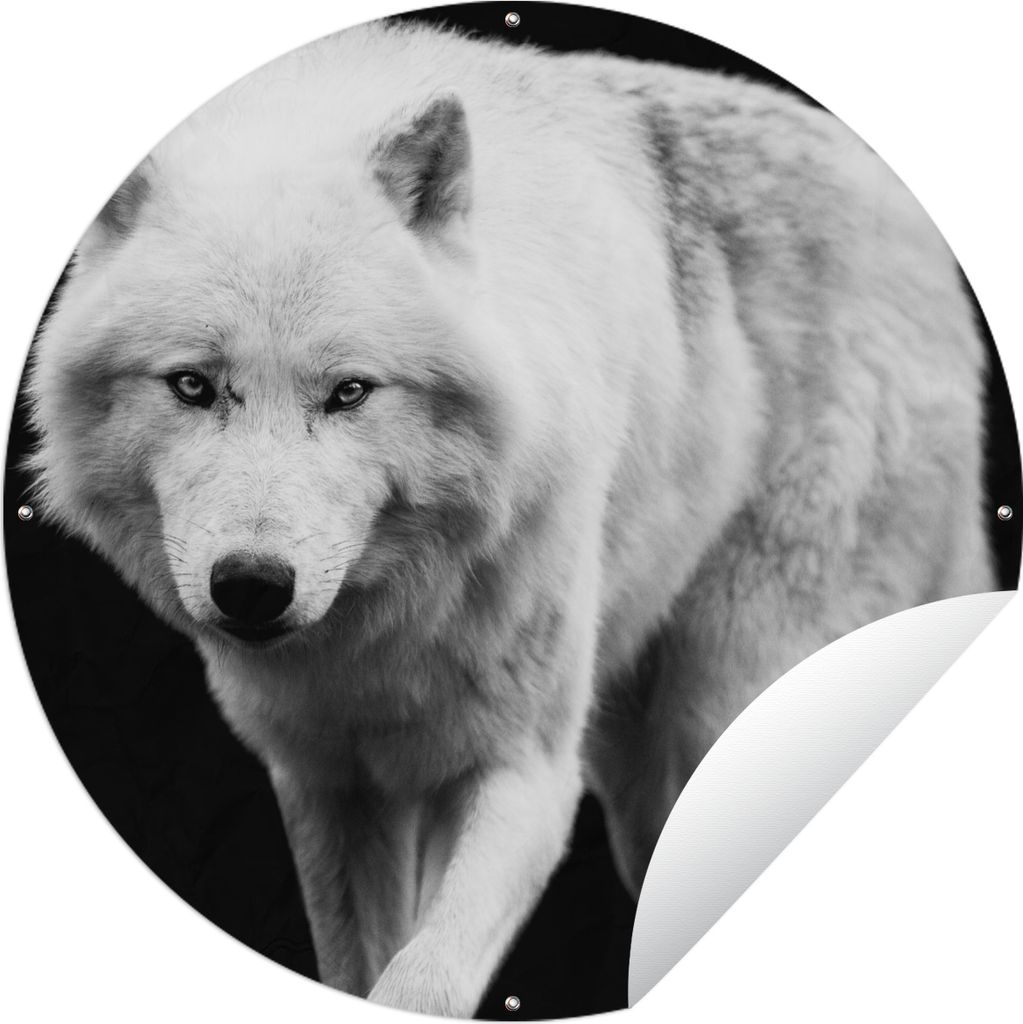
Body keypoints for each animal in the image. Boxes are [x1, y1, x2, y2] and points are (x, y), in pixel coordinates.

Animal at [26, 19, 993, 1017]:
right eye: (191, 385)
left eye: (349, 392)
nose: (253, 587)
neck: (384, 634)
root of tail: (911, 221)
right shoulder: (332, 785)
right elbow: (361, 965)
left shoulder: (524, 773)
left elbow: (423, 980)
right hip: (638, 779)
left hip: (721, 700)